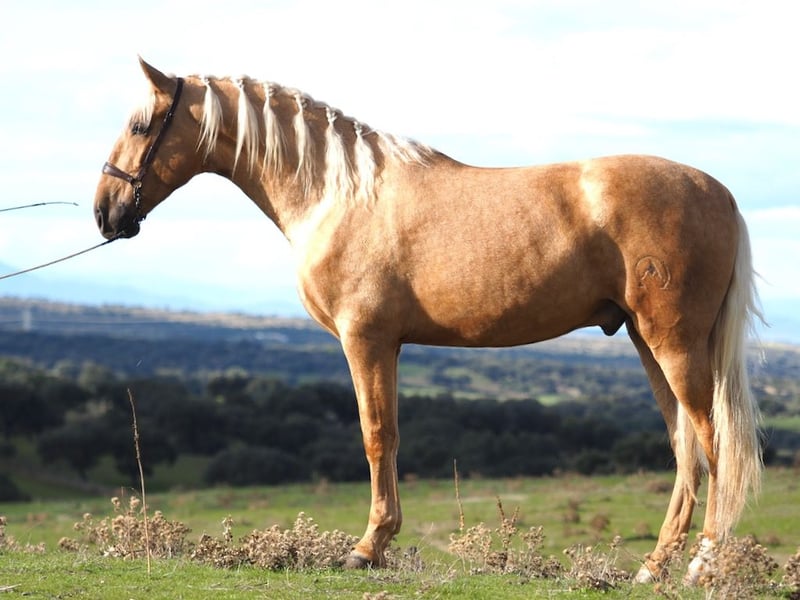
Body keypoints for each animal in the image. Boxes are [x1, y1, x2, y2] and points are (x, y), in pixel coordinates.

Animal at [94, 59, 762, 584]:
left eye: (139, 126)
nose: (106, 213)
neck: (338, 192)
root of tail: (722, 194)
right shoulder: (387, 346)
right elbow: (388, 436)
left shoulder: (365, 340)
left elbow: (375, 436)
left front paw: (367, 549)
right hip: (647, 342)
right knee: (685, 450)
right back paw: (654, 566)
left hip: (673, 344)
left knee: (713, 442)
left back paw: (702, 564)